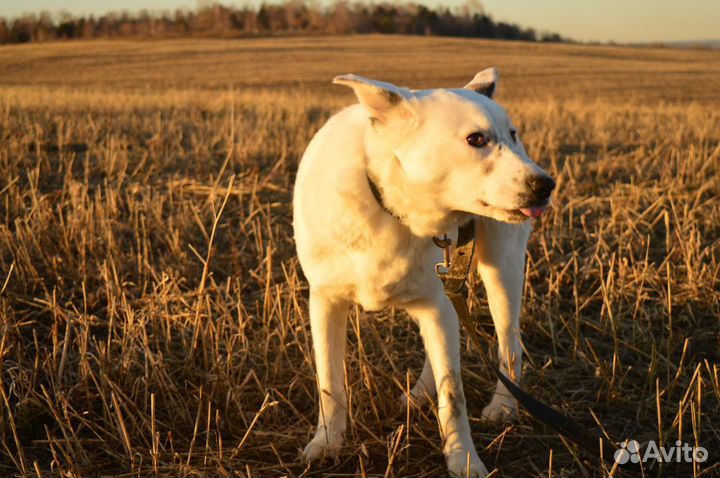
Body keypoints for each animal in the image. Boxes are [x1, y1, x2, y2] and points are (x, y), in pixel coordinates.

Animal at [292, 68, 556, 478]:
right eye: (475, 139)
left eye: (512, 134)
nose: (546, 185)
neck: (388, 207)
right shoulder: (325, 301)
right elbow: (330, 382)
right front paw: (326, 443)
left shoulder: (437, 303)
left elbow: (454, 394)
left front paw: (463, 459)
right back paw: (418, 395)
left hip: (502, 269)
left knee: (509, 343)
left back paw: (503, 406)